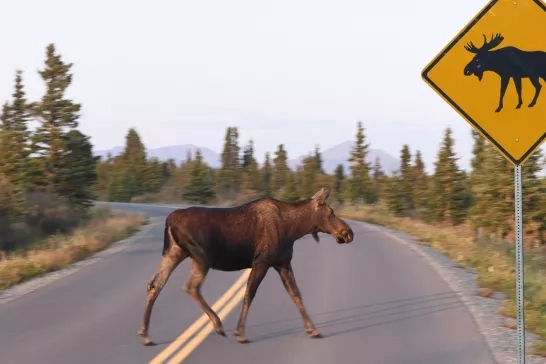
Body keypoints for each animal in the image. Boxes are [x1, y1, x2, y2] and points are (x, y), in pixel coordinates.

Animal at [137, 188, 352, 344]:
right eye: (331, 213)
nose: (348, 232)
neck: (295, 229)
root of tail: (169, 220)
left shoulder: (282, 262)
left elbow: (296, 294)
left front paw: (313, 329)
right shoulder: (262, 261)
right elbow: (249, 293)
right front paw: (240, 332)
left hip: (174, 252)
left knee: (154, 284)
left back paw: (145, 334)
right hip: (201, 257)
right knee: (191, 287)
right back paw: (218, 325)